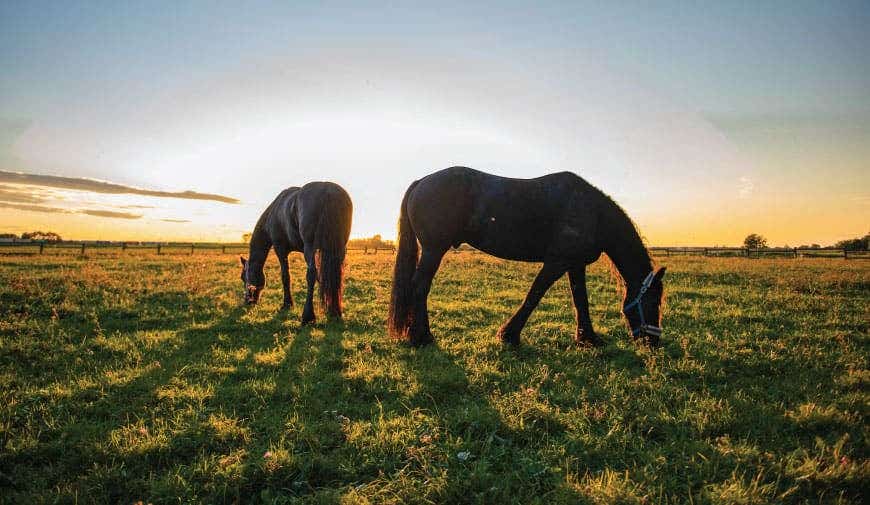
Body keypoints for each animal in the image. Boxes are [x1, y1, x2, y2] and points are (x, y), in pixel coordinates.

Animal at [240, 181, 352, 322]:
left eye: (243, 277)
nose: (248, 301)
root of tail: (328, 190)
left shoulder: (280, 249)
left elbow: (285, 276)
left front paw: (287, 304)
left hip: (310, 248)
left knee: (311, 275)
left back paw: (307, 316)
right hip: (339, 249)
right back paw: (335, 312)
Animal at [388, 165, 668, 346]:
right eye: (653, 301)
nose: (653, 341)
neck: (592, 212)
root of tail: (422, 181)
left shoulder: (575, 265)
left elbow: (581, 300)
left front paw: (588, 338)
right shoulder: (556, 262)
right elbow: (535, 294)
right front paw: (509, 335)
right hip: (433, 250)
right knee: (420, 286)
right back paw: (421, 337)